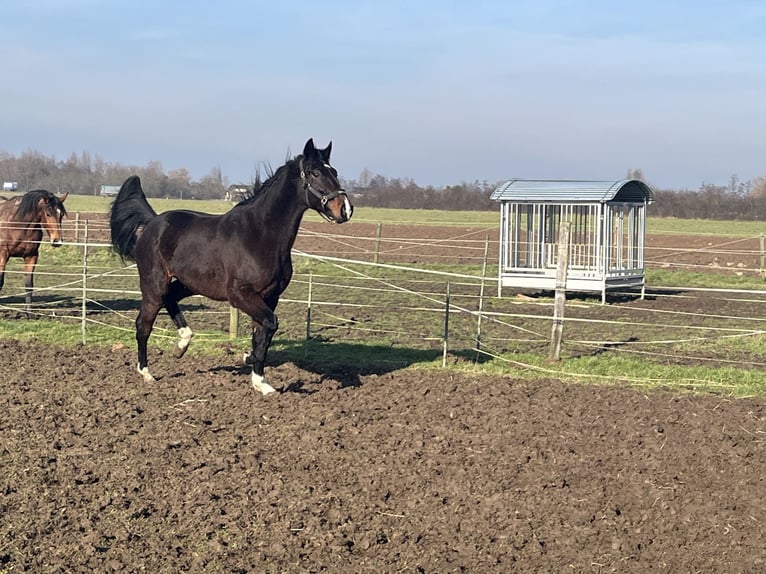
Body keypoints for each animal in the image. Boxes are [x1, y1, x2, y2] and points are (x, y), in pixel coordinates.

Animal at [0, 190, 68, 318]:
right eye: (48, 214)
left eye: (61, 215)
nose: (57, 240)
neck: (18, 224)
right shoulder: (3, 255)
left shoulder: (31, 256)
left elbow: (29, 285)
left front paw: (29, 314)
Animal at [109, 140, 356, 396]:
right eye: (315, 173)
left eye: (334, 172)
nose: (345, 209)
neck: (260, 235)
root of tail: (152, 223)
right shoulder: (240, 295)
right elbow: (270, 325)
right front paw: (252, 367)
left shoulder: (270, 297)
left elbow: (262, 336)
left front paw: (260, 380)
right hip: (153, 284)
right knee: (143, 325)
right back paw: (147, 373)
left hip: (189, 283)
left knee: (171, 299)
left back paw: (181, 345)